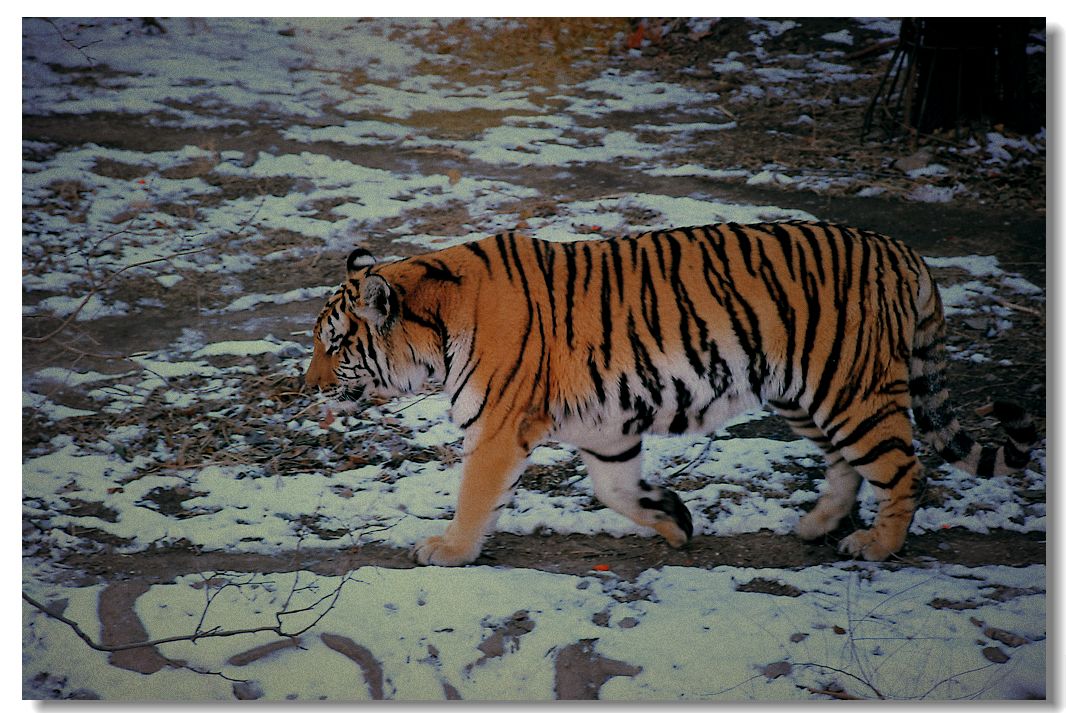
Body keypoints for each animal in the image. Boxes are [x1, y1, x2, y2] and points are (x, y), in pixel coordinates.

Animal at [304, 219, 1036, 562]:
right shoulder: (604, 425)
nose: (306, 386)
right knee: (845, 466)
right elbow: (614, 487)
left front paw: (449, 550)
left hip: (850, 390)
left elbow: (475, 495)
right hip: (805, 395)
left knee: (905, 469)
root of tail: (906, 253)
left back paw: (875, 545)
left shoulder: (498, 428)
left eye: (335, 345)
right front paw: (675, 521)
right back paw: (816, 525)